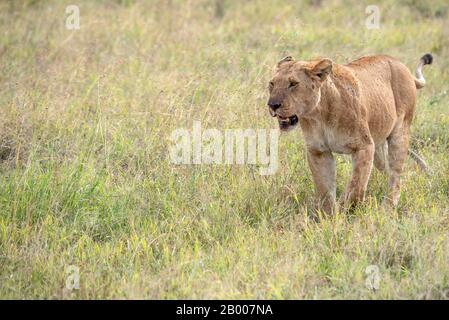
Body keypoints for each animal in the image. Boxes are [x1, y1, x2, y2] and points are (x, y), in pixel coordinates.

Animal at [268, 53, 432, 214]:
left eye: (293, 84)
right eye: (272, 84)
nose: (272, 105)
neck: (318, 115)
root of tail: (401, 64)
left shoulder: (364, 146)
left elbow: (356, 185)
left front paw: (345, 209)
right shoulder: (318, 151)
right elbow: (324, 190)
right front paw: (329, 216)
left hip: (399, 134)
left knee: (395, 176)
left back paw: (387, 208)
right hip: (379, 148)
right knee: (390, 171)